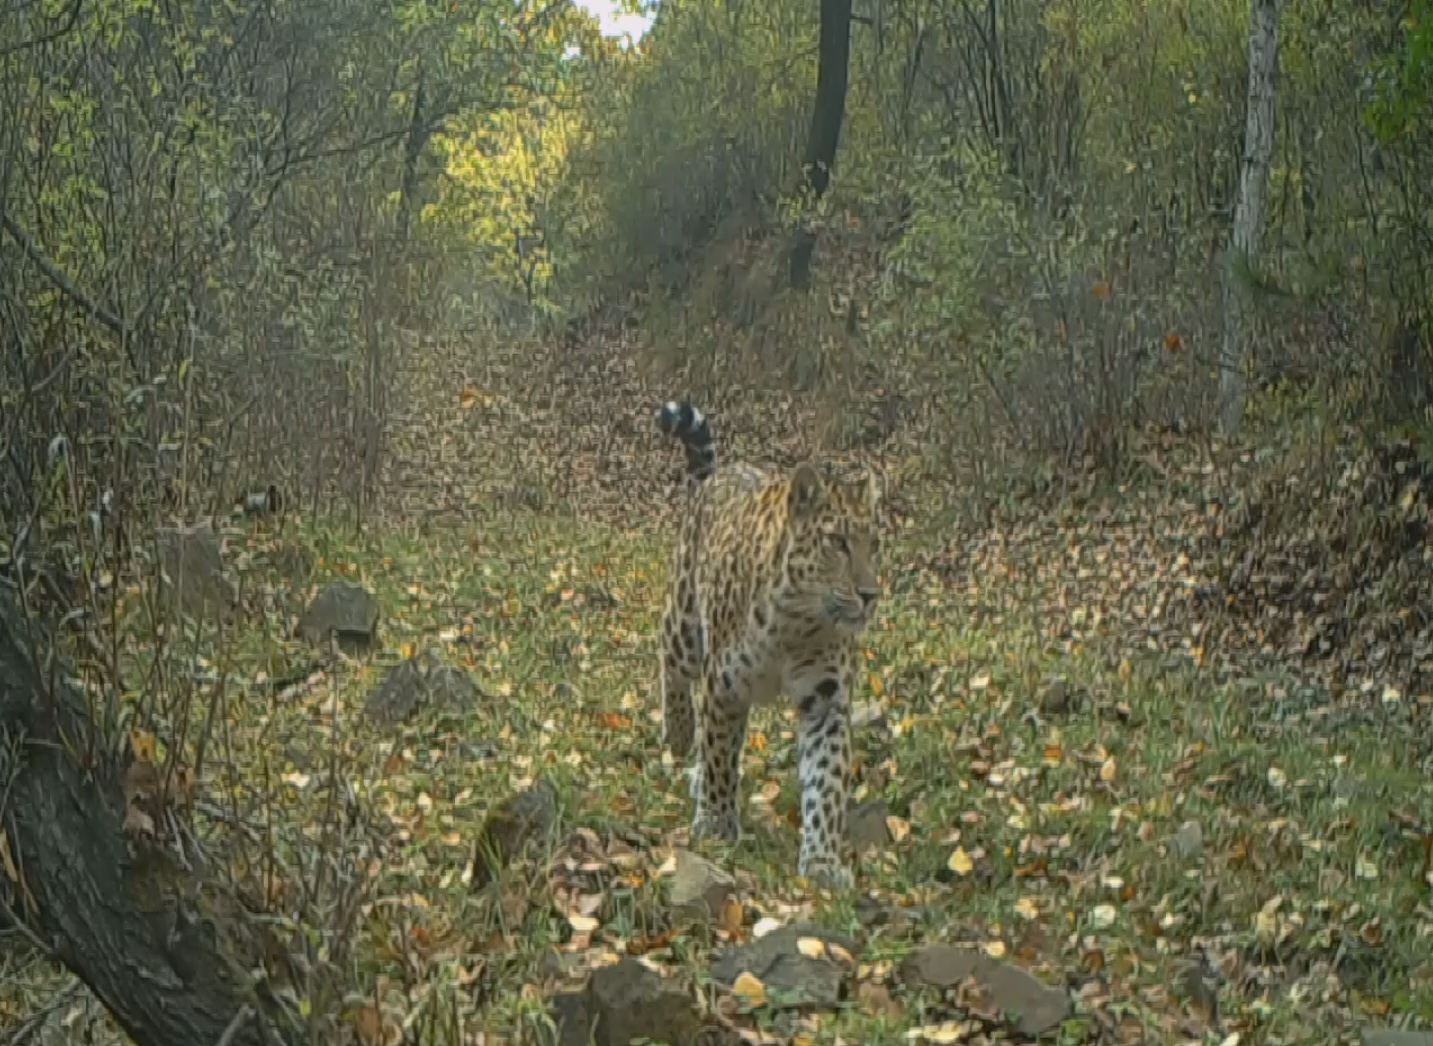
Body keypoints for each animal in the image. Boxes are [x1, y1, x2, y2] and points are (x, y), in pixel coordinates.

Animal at [656, 398, 876, 888]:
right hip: (685, 626)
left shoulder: (826, 699)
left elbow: (826, 781)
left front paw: (822, 860)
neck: (796, 625)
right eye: (837, 542)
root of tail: (717, 475)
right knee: (670, 662)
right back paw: (679, 734)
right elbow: (721, 756)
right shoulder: (723, 684)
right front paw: (717, 826)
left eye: (875, 543)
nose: (872, 594)